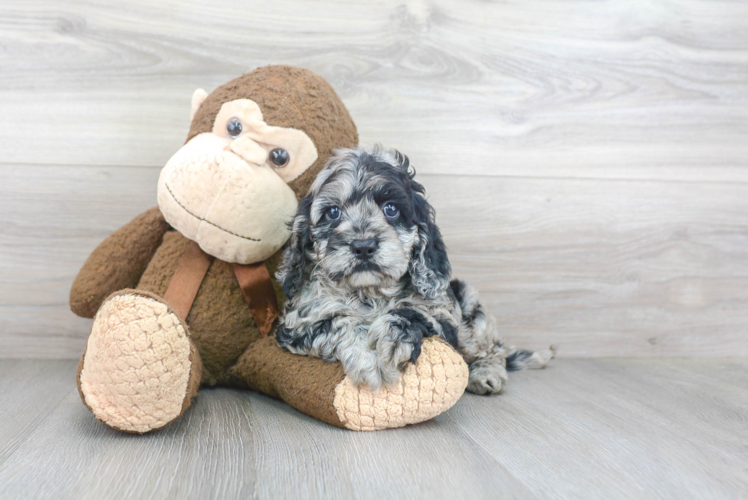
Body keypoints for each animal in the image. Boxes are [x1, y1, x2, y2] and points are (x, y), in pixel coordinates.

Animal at [276, 145, 556, 394]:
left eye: (391, 209)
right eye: (333, 212)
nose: (363, 246)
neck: (369, 292)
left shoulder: (443, 319)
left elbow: (413, 312)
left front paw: (391, 340)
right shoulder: (295, 325)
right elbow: (339, 321)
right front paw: (369, 358)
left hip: (471, 309)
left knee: (493, 349)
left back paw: (486, 374)